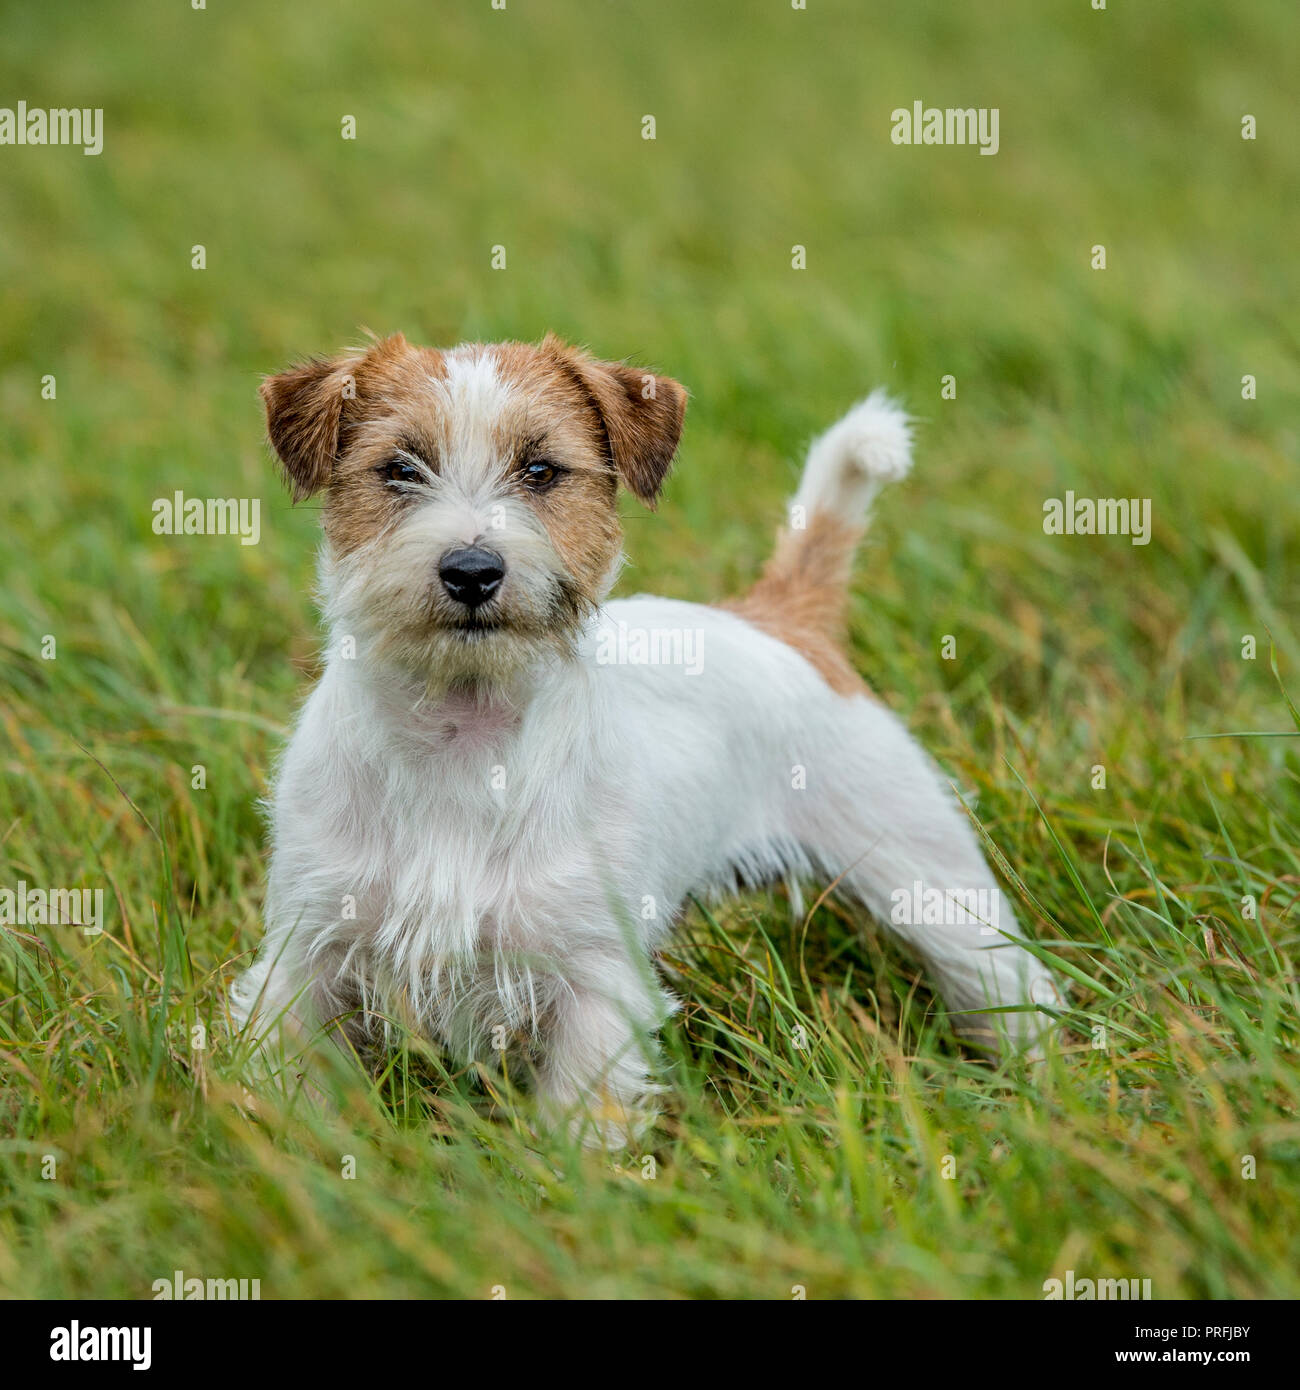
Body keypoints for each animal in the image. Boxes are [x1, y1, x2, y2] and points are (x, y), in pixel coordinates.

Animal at [233, 330, 1062, 1145]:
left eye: (541, 470)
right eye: (399, 470)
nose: (472, 569)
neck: (462, 730)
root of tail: (780, 617)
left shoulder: (594, 979)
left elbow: (579, 1118)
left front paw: (569, 1176)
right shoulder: (306, 954)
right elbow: (293, 1075)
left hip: (927, 876)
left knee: (1005, 978)